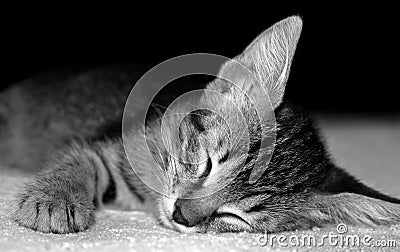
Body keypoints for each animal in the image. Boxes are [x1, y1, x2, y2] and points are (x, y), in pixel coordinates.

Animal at [9, 16, 400, 234]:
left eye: (236, 216)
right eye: (209, 163)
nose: (182, 216)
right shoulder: (108, 147)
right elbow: (79, 161)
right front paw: (53, 198)